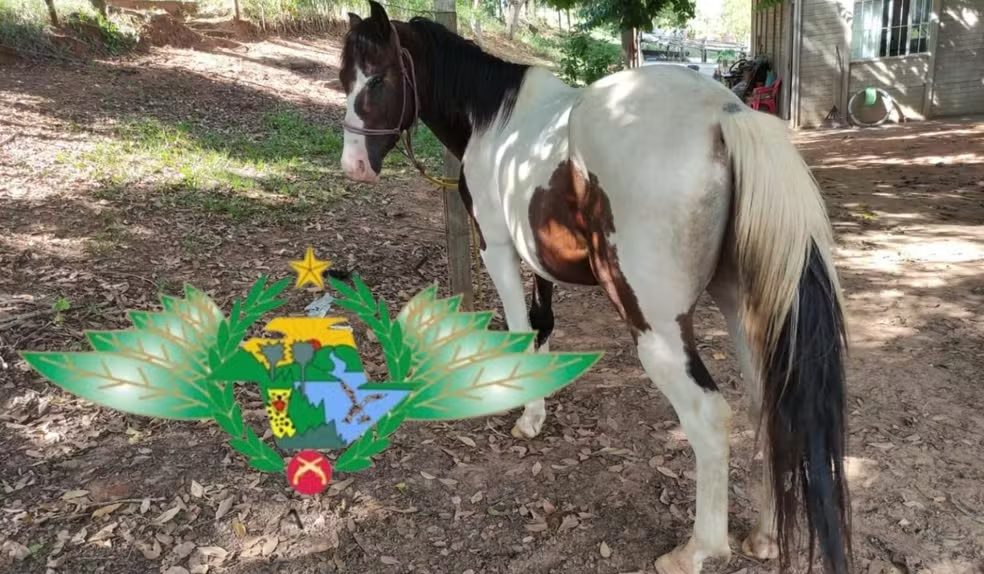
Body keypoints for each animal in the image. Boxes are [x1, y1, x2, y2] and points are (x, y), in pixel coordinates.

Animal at [339, 3, 851, 573]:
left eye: (378, 77)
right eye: (345, 78)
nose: (354, 166)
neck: (495, 120)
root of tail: (724, 115)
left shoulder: (497, 248)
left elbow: (519, 328)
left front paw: (526, 415)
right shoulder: (538, 256)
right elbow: (542, 326)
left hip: (658, 331)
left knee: (708, 416)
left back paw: (696, 550)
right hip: (746, 310)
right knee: (770, 406)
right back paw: (764, 536)